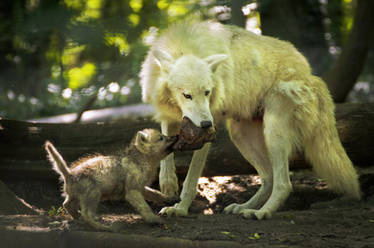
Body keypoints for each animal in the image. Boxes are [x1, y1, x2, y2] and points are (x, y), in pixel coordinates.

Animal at [139, 20, 360, 220]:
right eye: (187, 95)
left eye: (207, 92)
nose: (206, 124)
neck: (184, 47)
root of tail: (312, 76)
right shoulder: (169, 117)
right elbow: (166, 149)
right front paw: (168, 184)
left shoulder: (207, 131)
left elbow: (192, 178)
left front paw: (180, 209)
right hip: (240, 135)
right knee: (268, 178)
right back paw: (242, 207)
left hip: (272, 133)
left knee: (283, 183)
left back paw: (261, 213)